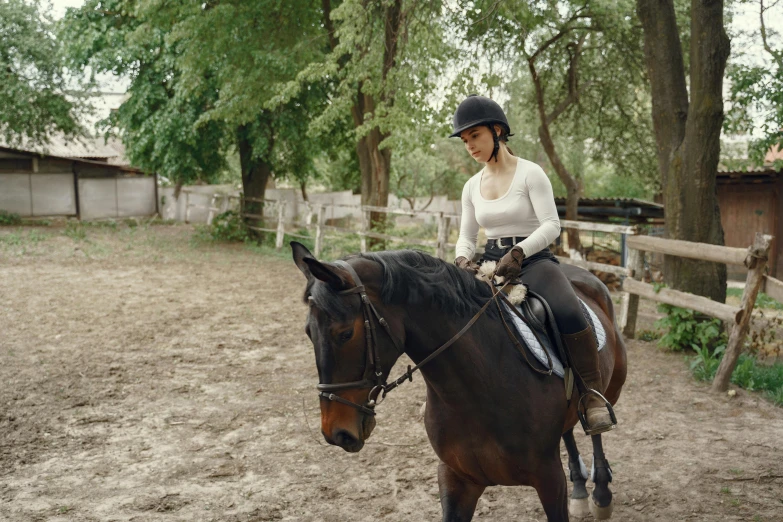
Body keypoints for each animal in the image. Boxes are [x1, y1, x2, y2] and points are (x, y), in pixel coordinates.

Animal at [290, 242, 628, 516]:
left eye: (345, 334)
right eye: (308, 332)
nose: (336, 433)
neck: (478, 389)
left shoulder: (549, 479)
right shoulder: (456, 479)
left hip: (610, 389)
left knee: (595, 426)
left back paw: (599, 493)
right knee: (569, 428)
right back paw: (581, 490)